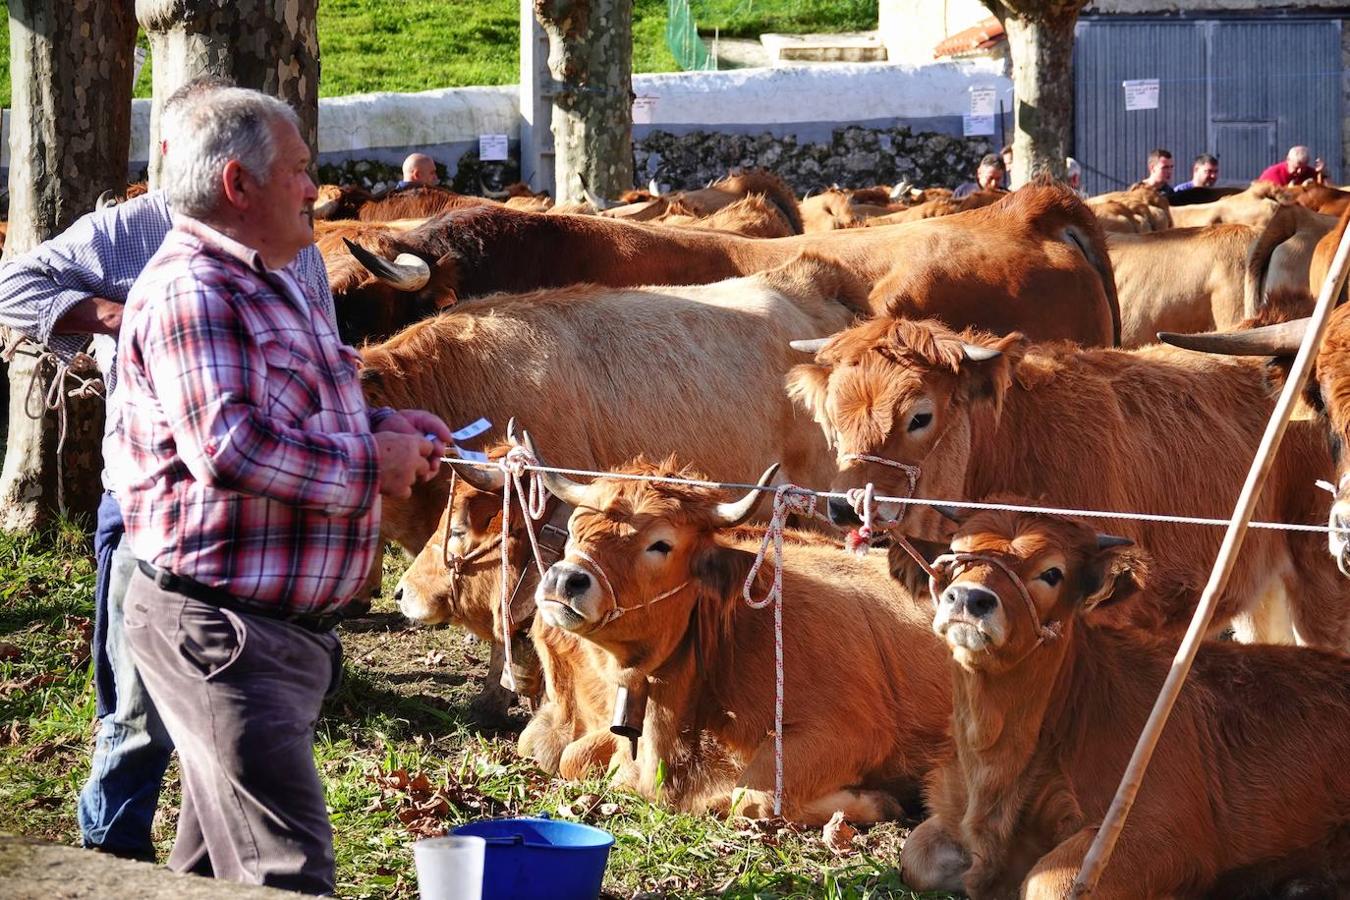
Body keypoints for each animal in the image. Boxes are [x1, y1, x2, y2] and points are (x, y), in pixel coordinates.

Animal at [526, 450, 950, 825]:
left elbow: (750, 798)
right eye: (575, 527)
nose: (564, 579)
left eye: (661, 544)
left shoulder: (850, 733)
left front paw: (877, 801)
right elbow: (571, 756)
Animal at [896, 507, 1350, 900]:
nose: (967, 598)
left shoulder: (1159, 831)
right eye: (955, 554)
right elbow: (915, 857)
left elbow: (1047, 884)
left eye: (1052, 572)